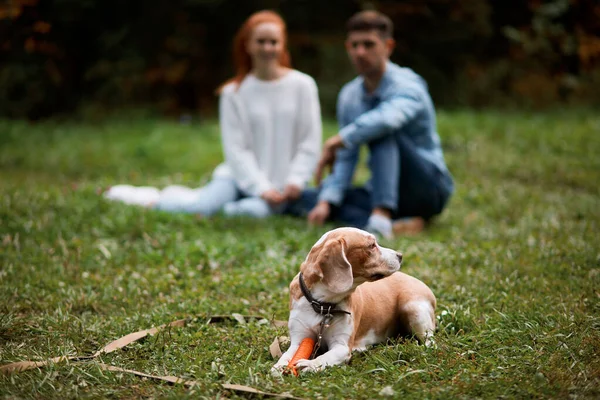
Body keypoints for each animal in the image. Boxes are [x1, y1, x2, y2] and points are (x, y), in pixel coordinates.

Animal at [274, 228, 436, 376]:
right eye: (372, 245)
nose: (400, 256)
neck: (322, 305)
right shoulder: (299, 340)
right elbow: (286, 356)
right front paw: (279, 366)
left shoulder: (342, 347)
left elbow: (325, 357)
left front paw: (310, 364)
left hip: (413, 309)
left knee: (431, 340)